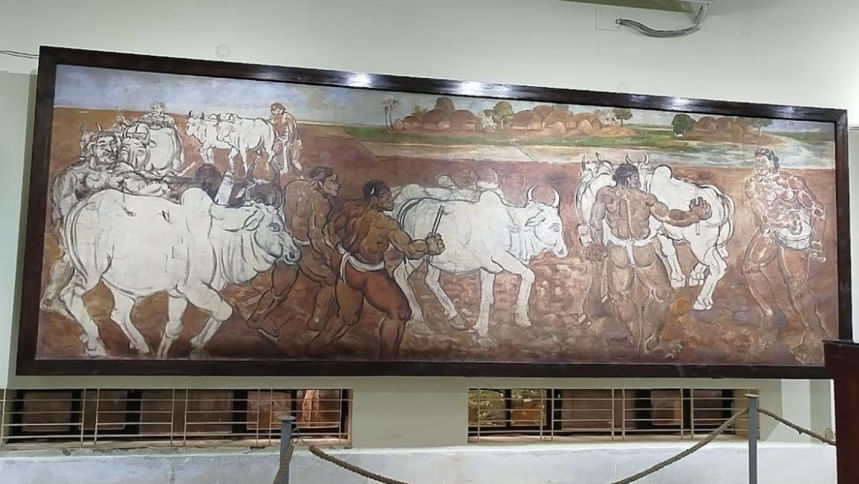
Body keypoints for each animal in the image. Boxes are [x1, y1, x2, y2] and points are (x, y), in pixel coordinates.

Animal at [59, 188, 300, 359]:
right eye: (275, 226)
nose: (295, 253)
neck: (221, 239)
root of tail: (81, 205)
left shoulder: (178, 294)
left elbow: (174, 327)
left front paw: (165, 353)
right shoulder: (193, 288)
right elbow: (224, 310)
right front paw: (197, 345)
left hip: (121, 287)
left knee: (119, 314)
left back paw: (141, 345)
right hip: (89, 272)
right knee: (69, 295)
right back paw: (95, 344)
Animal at [393, 186, 568, 346]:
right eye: (555, 227)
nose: (563, 251)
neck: (512, 226)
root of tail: (411, 205)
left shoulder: (488, 268)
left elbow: (485, 297)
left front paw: (480, 330)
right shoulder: (501, 257)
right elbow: (529, 275)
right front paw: (521, 317)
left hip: (436, 259)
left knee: (430, 281)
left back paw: (454, 316)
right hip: (416, 256)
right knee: (399, 273)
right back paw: (419, 318)